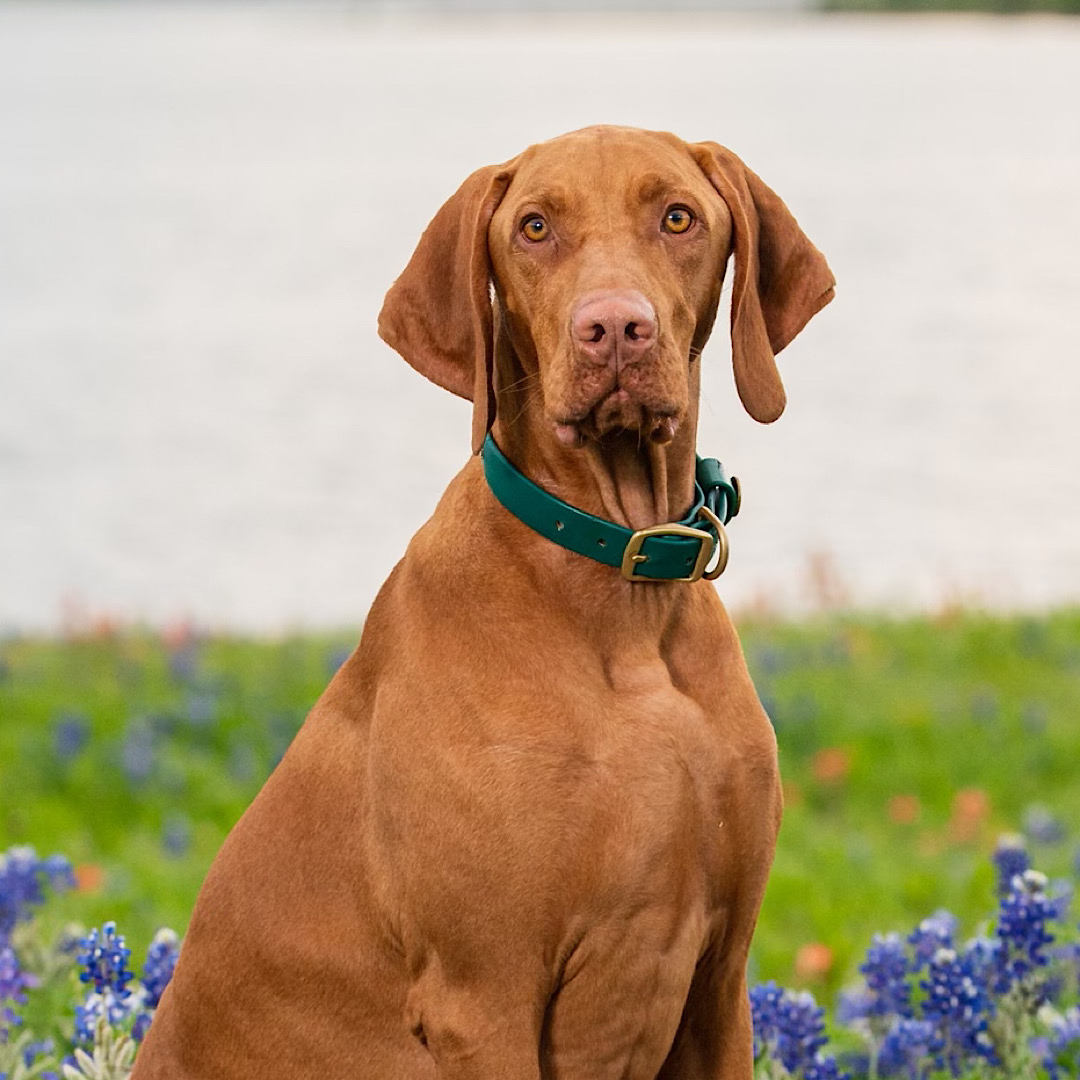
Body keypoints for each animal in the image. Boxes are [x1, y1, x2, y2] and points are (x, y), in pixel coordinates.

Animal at [132, 126, 833, 1080]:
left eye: (678, 217)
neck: (623, 602)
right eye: (534, 227)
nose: (615, 329)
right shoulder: (482, 997)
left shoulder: (720, 985)